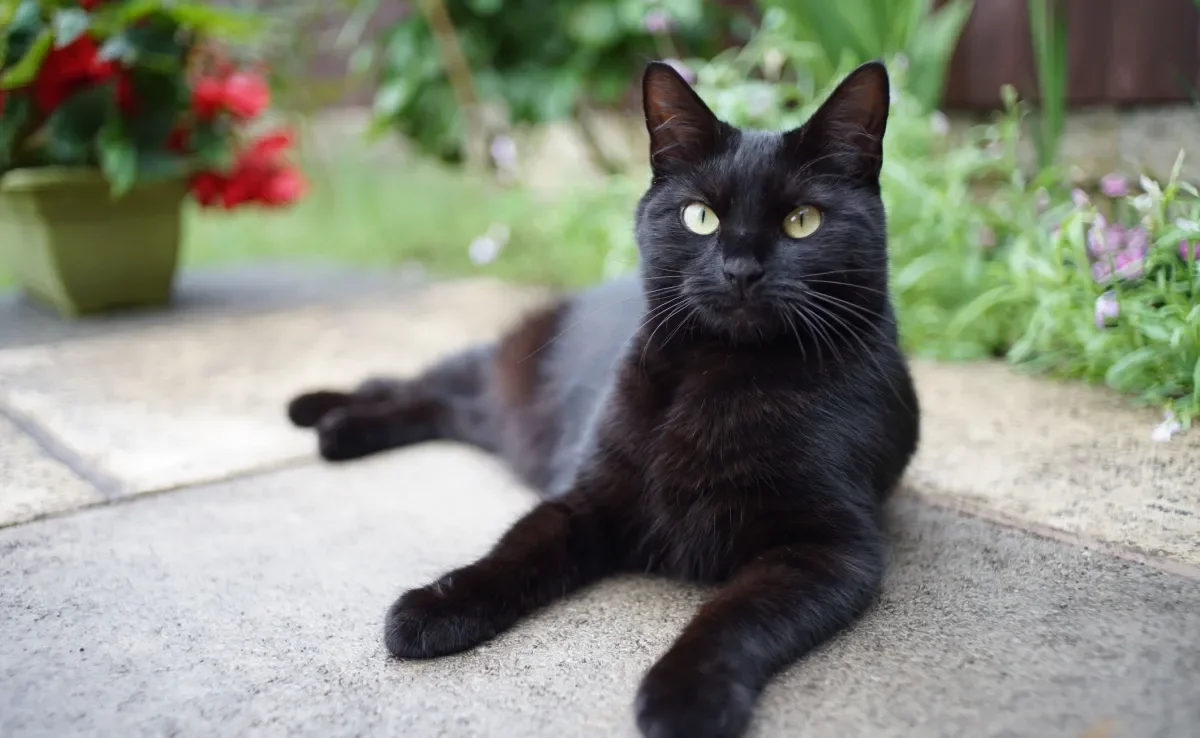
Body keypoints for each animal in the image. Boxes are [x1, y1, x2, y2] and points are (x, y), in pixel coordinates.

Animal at [288, 60, 916, 738]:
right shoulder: (590, 493)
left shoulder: (829, 549)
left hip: (500, 417)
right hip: (499, 373)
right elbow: (516, 549)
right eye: (700, 217)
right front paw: (433, 607)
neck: (720, 376)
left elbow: (736, 616)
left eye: (802, 220)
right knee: (414, 383)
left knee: (439, 406)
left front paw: (685, 695)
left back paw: (336, 428)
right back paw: (316, 413)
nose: (740, 270)